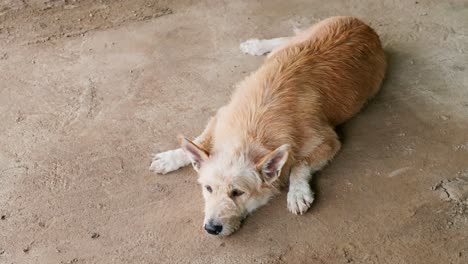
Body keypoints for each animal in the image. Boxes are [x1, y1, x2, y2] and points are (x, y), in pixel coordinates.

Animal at [151, 16, 388, 235]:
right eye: (208, 188)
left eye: (237, 193)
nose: (211, 228)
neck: (250, 131)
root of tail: (363, 24)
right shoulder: (221, 115)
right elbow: (199, 140)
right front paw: (171, 157)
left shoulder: (329, 141)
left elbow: (299, 164)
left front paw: (298, 192)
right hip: (299, 38)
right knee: (286, 38)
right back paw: (257, 45)